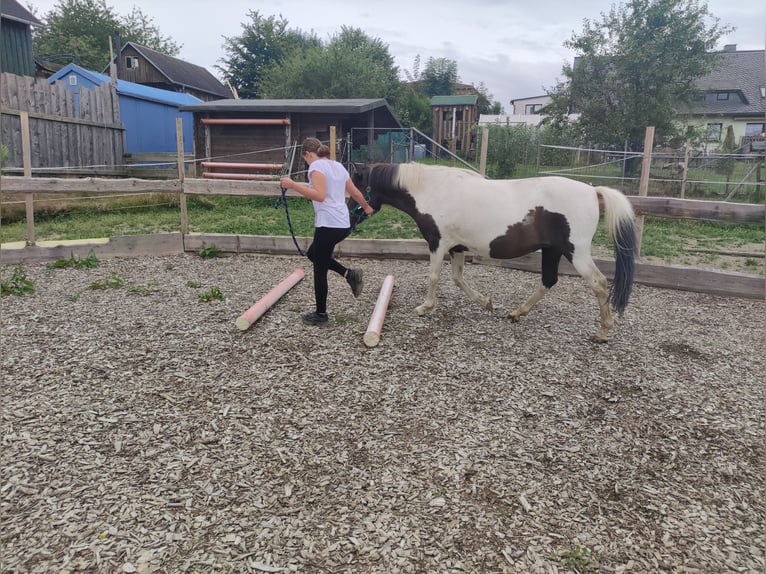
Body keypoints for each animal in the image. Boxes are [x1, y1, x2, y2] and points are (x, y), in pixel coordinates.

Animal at [352, 162, 640, 342]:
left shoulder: (438, 243)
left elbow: (434, 277)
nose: (349, 220)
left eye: (354, 186)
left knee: (599, 283)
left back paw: (603, 332)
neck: (432, 190)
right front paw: (486, 302)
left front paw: (425, 307)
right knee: (548, 281)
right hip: (553, 250)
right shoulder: (456, 247)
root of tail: (593, 190)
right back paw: (516, 313)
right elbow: (458, 279)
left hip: (576, 253)